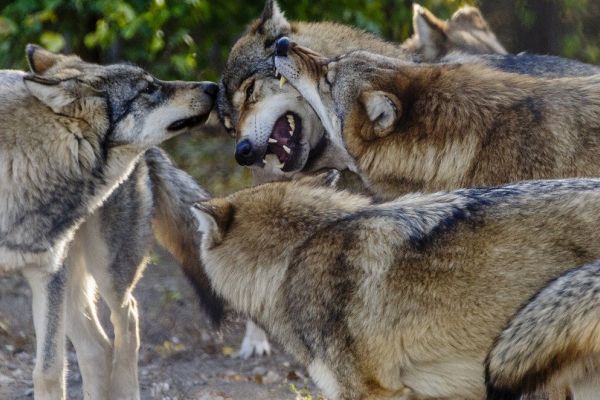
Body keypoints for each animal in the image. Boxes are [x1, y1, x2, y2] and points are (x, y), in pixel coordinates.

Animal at [0, 45, 216, 398]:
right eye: (148, 89)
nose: (214, 86)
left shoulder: (47, 275)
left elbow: (48, 371)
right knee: (98, 347)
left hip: (104, 271)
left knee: (125, 321)